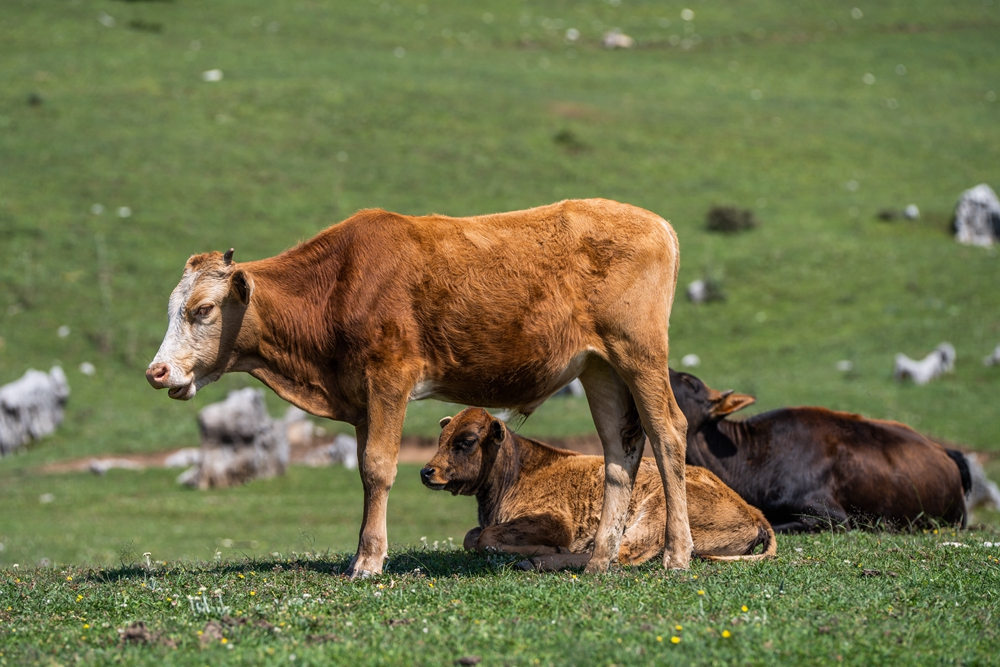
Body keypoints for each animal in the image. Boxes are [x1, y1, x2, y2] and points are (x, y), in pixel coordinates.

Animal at [146, 200, 696, 580]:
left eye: (203, 309)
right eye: (173, 307)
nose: (157, 371)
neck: (337, 285)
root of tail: (657, 223)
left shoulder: (390, 376)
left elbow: (378, 466)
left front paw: (368, 562)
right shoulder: (362, 398)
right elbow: (366, 469)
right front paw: (362, 550)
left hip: (639, 353)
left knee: (668, 433)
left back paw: (677, 554)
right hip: (600, 368)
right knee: (619, 452)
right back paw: (600, 560)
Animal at [420, 408, 772, 568]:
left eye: (466, 441)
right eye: (440, 438)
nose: (426, 471)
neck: (517, 472)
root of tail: (754, 513)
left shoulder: (554, 523)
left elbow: (485, 539)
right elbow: (472, 536)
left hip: (657, 510)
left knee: (620, 552)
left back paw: (540, 560)